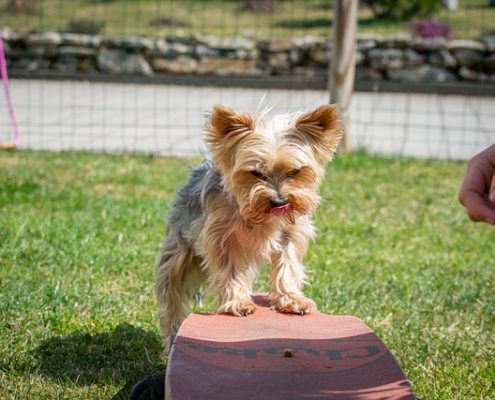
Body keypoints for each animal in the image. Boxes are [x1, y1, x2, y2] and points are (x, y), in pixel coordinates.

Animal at [157, 103, 342, 350]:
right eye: (256, 173)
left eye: (295, 172)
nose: (280, 202)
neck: (261, 216)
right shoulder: (220, 237)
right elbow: (230, 269)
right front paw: (238, 303)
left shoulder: (290, 233)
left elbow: (288, 264)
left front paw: (291, 299)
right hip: (179, 249)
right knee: (172, 292)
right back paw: (172, 338)